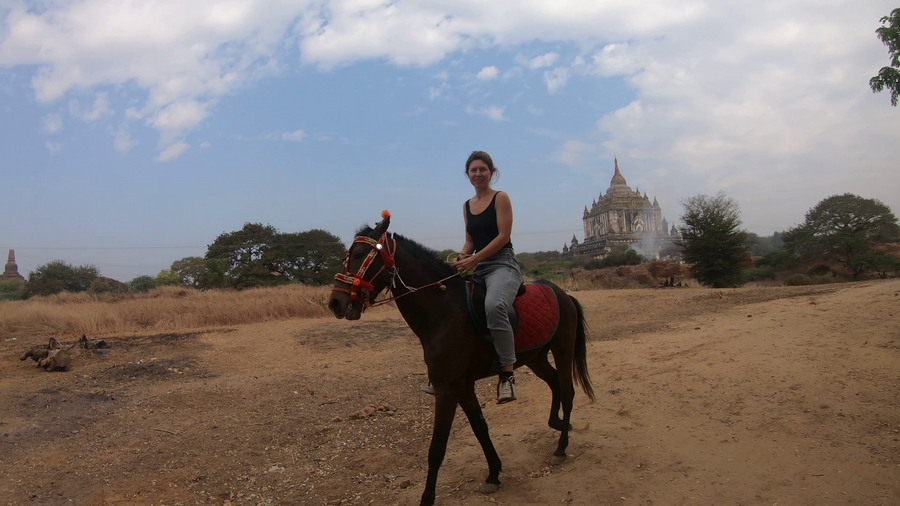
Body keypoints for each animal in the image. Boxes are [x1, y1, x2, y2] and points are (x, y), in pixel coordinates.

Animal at [326, 214, 596, 506]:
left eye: (360, 255)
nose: (335, 303)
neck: (444, 312)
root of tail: (562, 293)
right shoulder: (464, 387)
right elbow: (480, 428)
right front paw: (493, 474)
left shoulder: (448, 390)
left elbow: (437, 447)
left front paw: (427, 497)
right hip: (535, 358)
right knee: (555, 383)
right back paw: (556, 424)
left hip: (562, 350)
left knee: (567, 392)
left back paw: (561, 448)